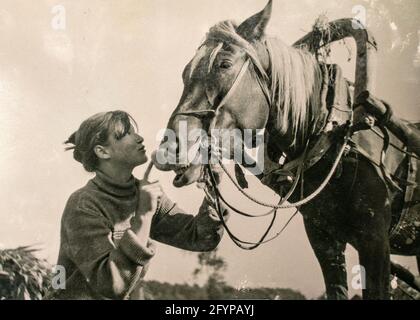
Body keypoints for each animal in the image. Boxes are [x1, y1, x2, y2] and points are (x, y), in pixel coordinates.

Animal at [153, 0, 420, 300]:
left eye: (225, 64)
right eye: (185, 72)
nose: (169, 149)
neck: (336, 139)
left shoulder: (374, 239)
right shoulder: (323, 239)